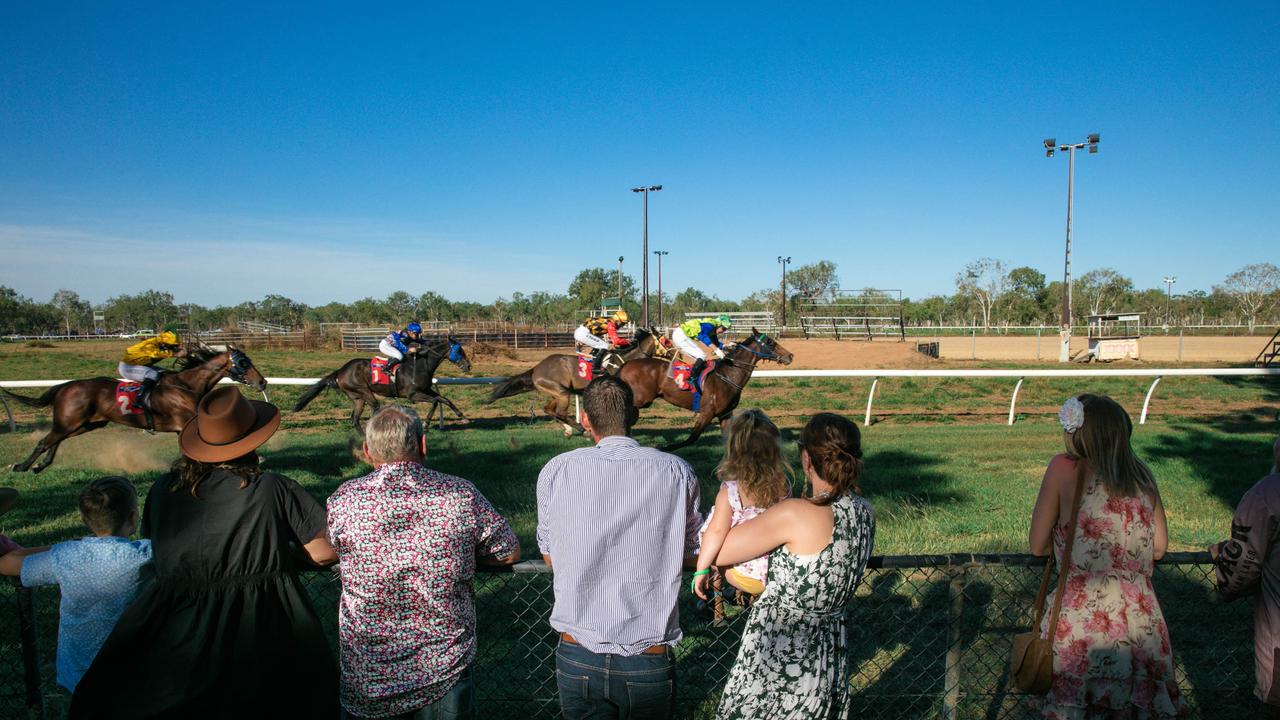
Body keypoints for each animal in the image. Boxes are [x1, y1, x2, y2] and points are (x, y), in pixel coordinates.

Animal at [2, 345, 266, 474]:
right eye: (243, 363)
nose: (262, 382)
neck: (187, 386)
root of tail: (66, 386)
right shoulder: (188, 424)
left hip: (85, 423)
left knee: (56, 440)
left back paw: (41, 466)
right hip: (70, 421)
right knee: (44, 441)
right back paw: (22, 466)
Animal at [290, 333, 471, 427]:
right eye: (459, 351)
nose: (468, 366)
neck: (420, 364)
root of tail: (341, 370)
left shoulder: (426, 389)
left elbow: (443, 399)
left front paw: (462, 416)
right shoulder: (413, 395)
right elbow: (435, 401)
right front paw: (426, 423)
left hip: (358, 397)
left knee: (356, 418)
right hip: (363, 391)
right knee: (374, 408)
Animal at [483, 326, 665, 438]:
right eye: (666, 341)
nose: (671, 353)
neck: (623, 361)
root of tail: (536, 368)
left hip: (556, 392)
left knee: (549, 409)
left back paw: (569, 430)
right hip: (561, 392)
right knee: (560, 412)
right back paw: (582, 430)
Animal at [616, 330, 788, 448]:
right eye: (770, 342)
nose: (790, 356)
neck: (728, 375)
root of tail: (625, 365)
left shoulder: (725, 414)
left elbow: (727, 440)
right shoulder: (707, 413)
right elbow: (691, 438)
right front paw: (664, 447)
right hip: (640, 399)